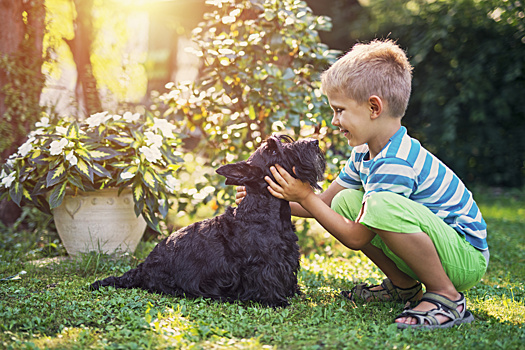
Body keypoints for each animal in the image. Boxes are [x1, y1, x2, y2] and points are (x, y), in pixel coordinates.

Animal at [92, 134, 326, 306]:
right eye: (273, 150)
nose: (315, 142)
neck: (264, 208)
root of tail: (142, 266)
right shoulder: (265, 264)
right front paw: (277, 301)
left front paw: (294, 291)